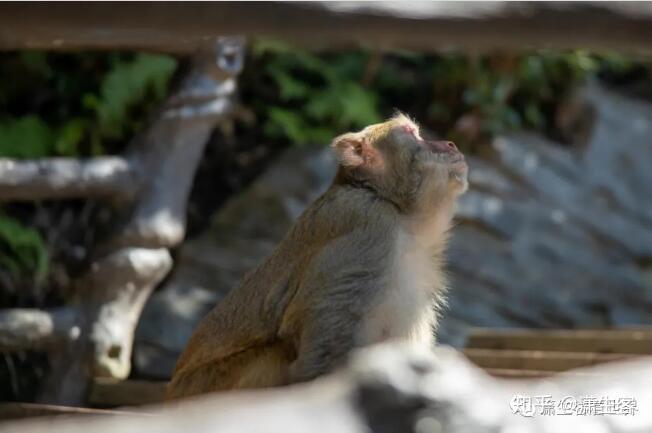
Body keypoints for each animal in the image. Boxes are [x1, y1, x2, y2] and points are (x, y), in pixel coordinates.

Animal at [166, 113, 466, 400]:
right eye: (411, 134)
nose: (451, 144)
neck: (394, 207)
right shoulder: (368, 231)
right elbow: (325, 347)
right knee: (275, 355)